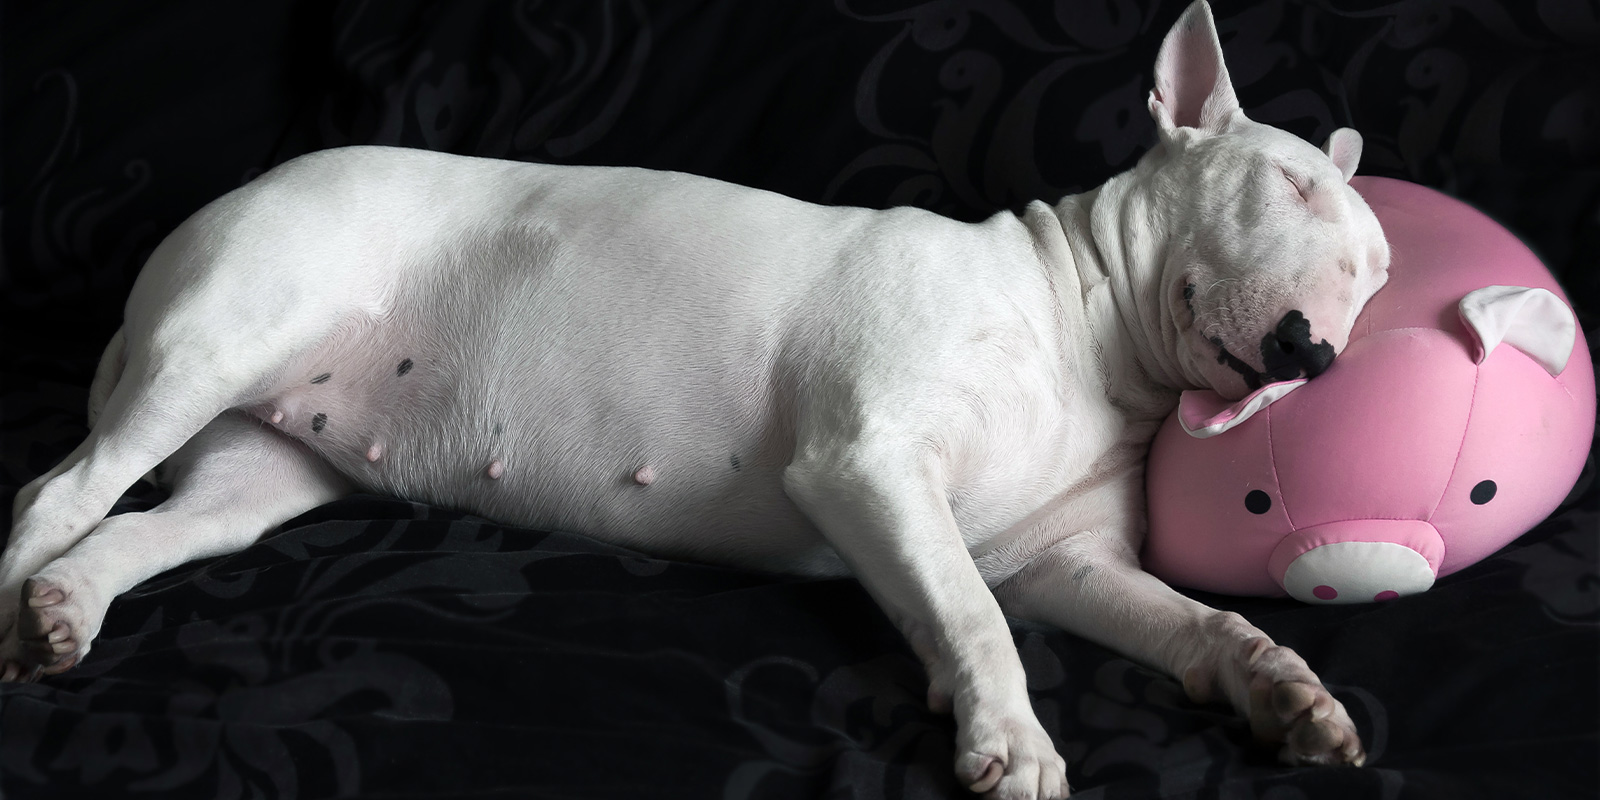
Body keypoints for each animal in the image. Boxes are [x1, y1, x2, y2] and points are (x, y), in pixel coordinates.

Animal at [3, 3, 1388, 796]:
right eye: (1283, 187)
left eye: (1378, 277)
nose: (1316, 354)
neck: (1081, 333)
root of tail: (234, 191)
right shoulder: (867, 461)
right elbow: (973, 612)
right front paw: (1012, 735)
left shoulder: (1064, 562)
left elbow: (1185, 620)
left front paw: (1287, 691)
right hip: (225, 339)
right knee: (55, 491)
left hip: (264, 468)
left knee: (141, 526)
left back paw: (63, 610)